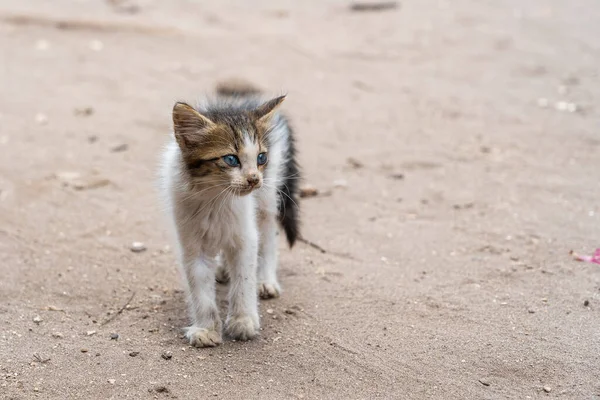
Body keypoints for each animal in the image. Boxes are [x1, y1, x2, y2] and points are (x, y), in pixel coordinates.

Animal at [159, 82, 300, 346]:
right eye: (231, 159)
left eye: (261, 157)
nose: (254, 179)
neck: (215, 199)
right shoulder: (192, 244)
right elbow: (200, 291)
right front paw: (206, 329)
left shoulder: (246, 235)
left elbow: (244, 281)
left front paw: (243, 321)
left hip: (267, 199)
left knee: (268, 237)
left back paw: (266, 280)